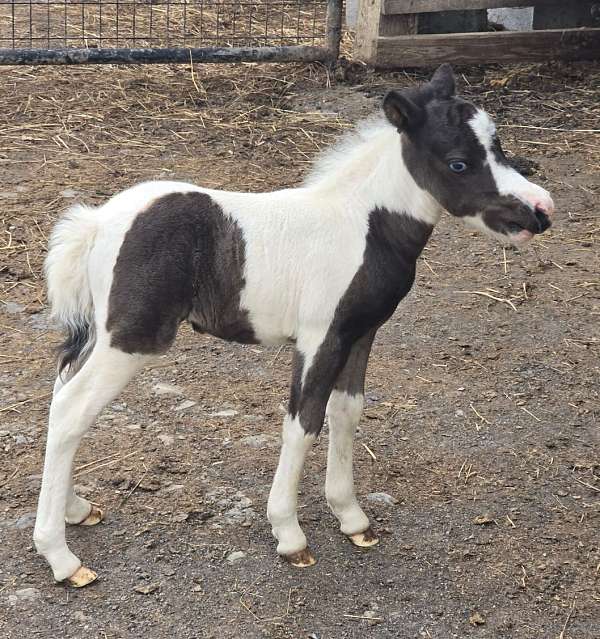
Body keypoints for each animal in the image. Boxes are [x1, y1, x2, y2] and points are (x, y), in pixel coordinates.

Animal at [32, 63, 552, 584]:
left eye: (498, 144)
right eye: (459, 163)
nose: (541, 212)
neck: (363, 224)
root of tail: (96, 222)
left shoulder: (360, 333)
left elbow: (347, 411)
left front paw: (351, 517)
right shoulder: (321, 338)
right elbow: (303, 422)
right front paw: (289, 533)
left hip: (101, 333)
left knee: (62, 395)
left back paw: (76, 509)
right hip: (131, 338)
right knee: (72, 410)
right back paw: (60, 556)